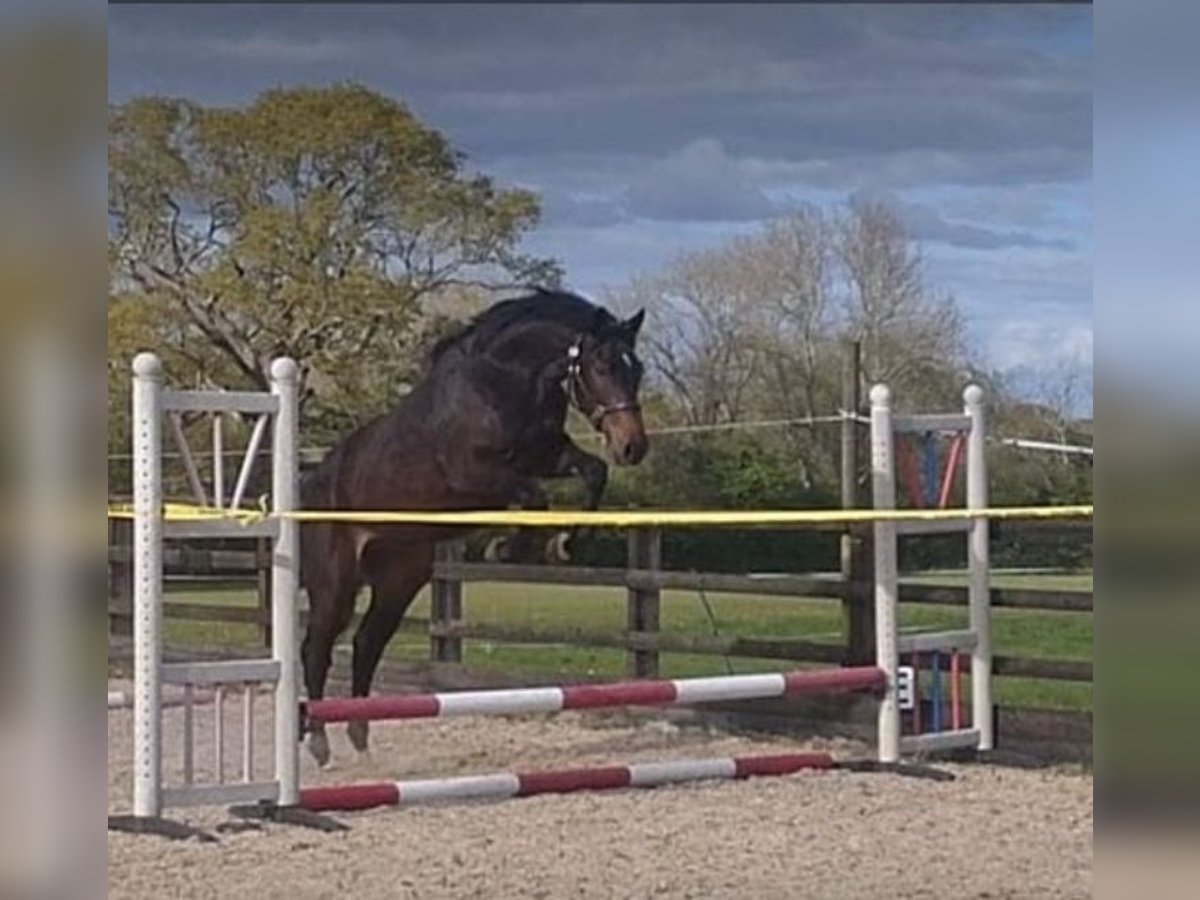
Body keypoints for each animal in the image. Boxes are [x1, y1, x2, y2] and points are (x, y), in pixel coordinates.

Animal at [296, 290, 648, 768]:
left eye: (638, 369)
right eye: (602, 367)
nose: (633, 447)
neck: (508, 382)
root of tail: (313, 482)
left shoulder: (546, 456)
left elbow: (593, 472)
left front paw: (564, 544)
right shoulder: (475, 472)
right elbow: (535, 498)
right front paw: (507, 548)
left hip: (399, 578)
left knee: (367, 643)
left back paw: (360, 735)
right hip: (336, 583)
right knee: (317, 648)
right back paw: (318, 740)